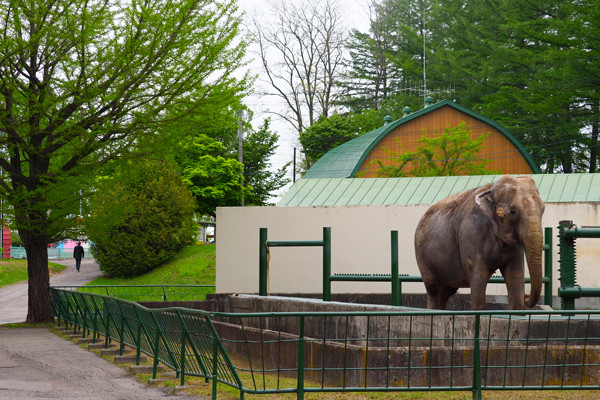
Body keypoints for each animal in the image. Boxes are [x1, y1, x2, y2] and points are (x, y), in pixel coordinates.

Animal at [414, 175, 548, 310]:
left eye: (543, 209)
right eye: (513, 211)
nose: (526, 297)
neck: (491, 189)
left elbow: (515, 273)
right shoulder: (472, 233)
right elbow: (478, 276)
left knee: (446, 291)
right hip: (422, 257)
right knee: (434, 289)